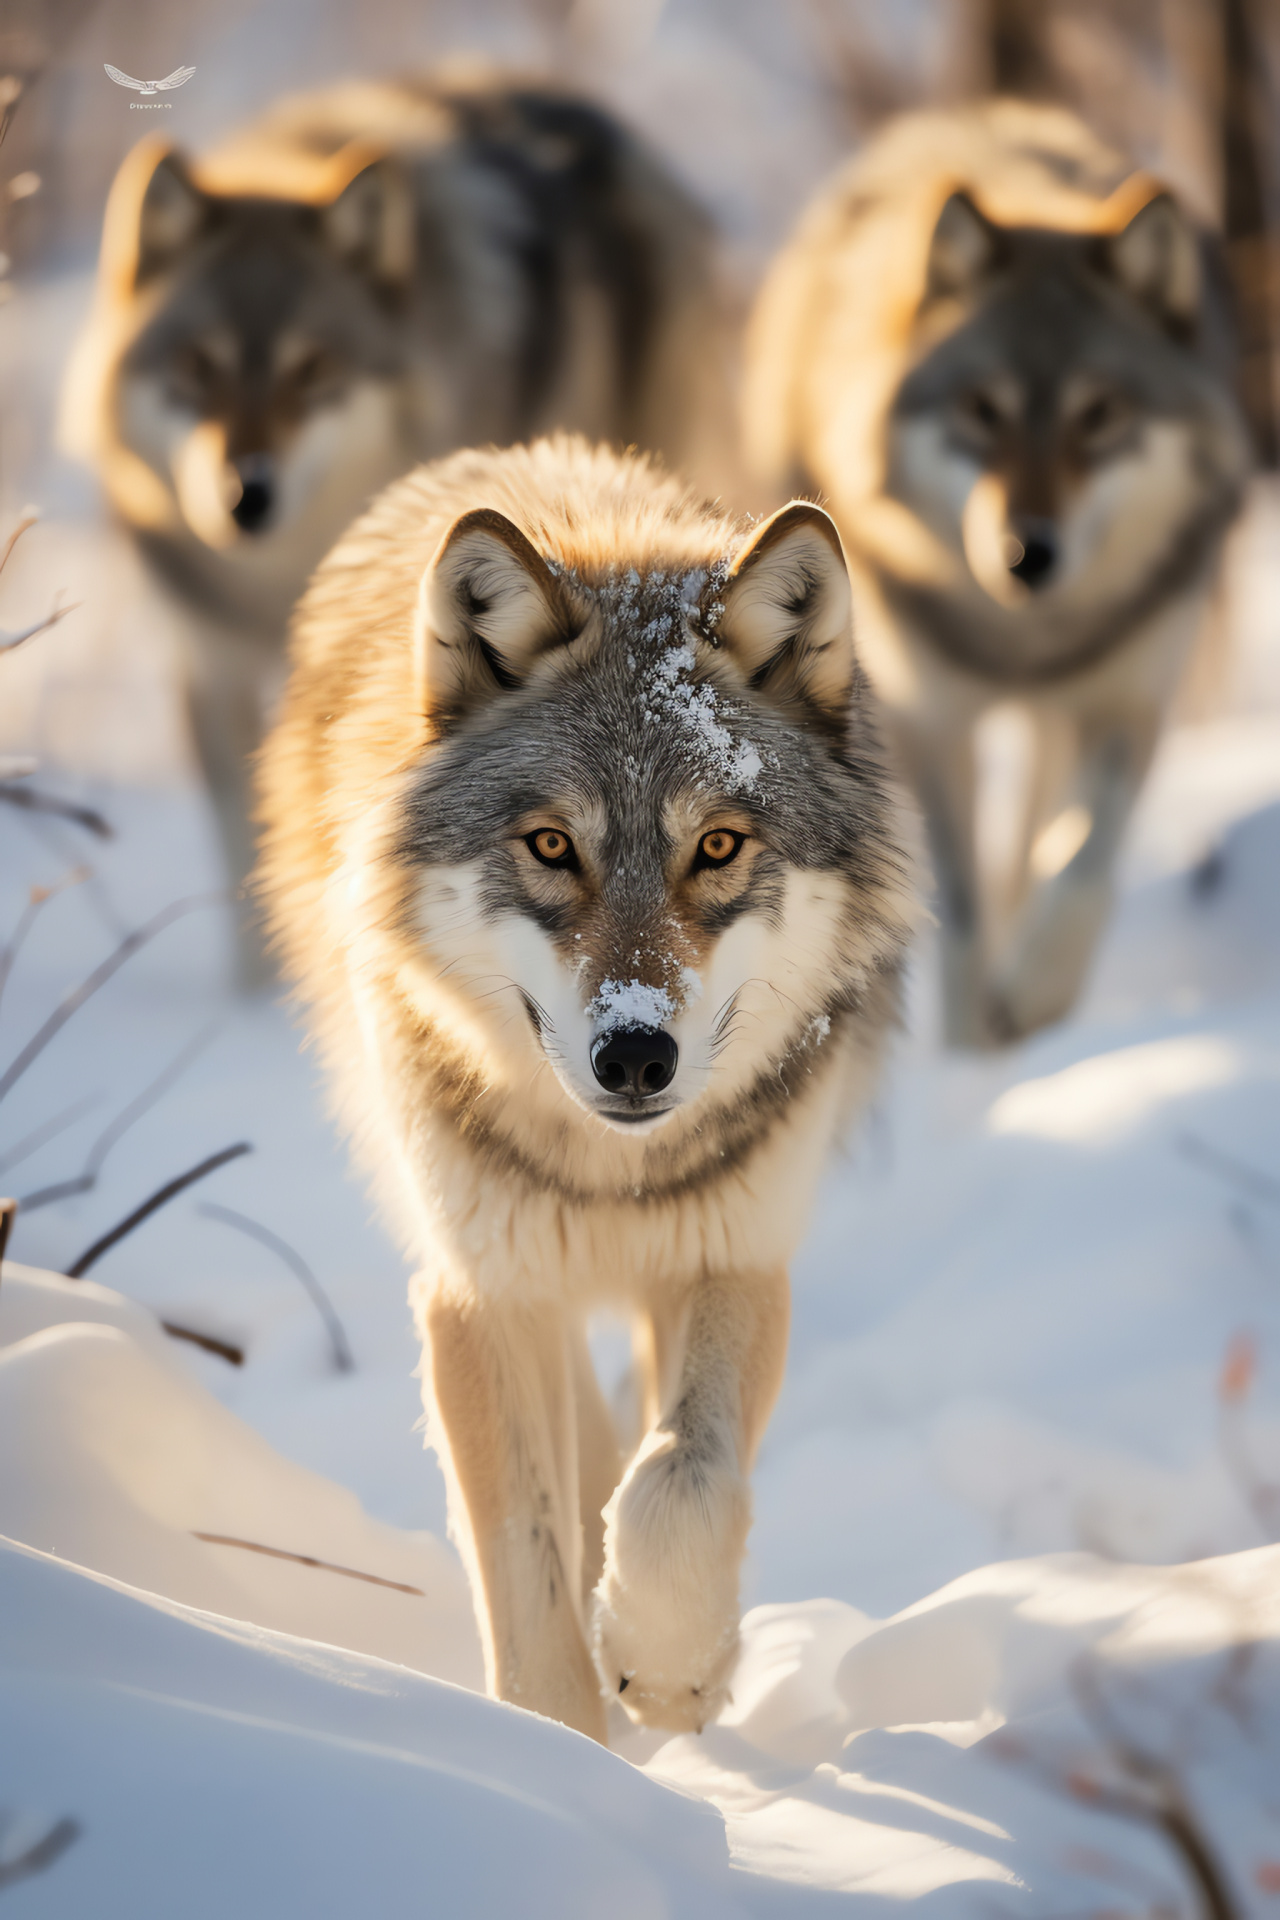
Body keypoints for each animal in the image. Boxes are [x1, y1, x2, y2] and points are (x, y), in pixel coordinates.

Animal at [65, 76, 725, 983]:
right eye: (199, 366)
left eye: (312, 370)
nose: (245, 496)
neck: (283, 583)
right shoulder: (214, 664)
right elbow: (247, 845)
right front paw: (255, 992)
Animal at [255, 435, 917, 1743]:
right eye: (552, 847)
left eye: (716, 848)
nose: (634, 1055)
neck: (610, 1175)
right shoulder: (477, 1290)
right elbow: (527, 1563)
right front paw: (556, 1758)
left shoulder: (734, 1255)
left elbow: (683, 1477)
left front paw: (667, 1665)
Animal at [744, 101, 1243, 1052]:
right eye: (983, 410)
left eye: (1097, 415)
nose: (1026, 554)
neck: (1026, 643)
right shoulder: (927, 723)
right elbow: (961, 905)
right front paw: (972, 1045)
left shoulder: (1128, 699)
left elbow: (1083, 859)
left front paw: (1039, 995)